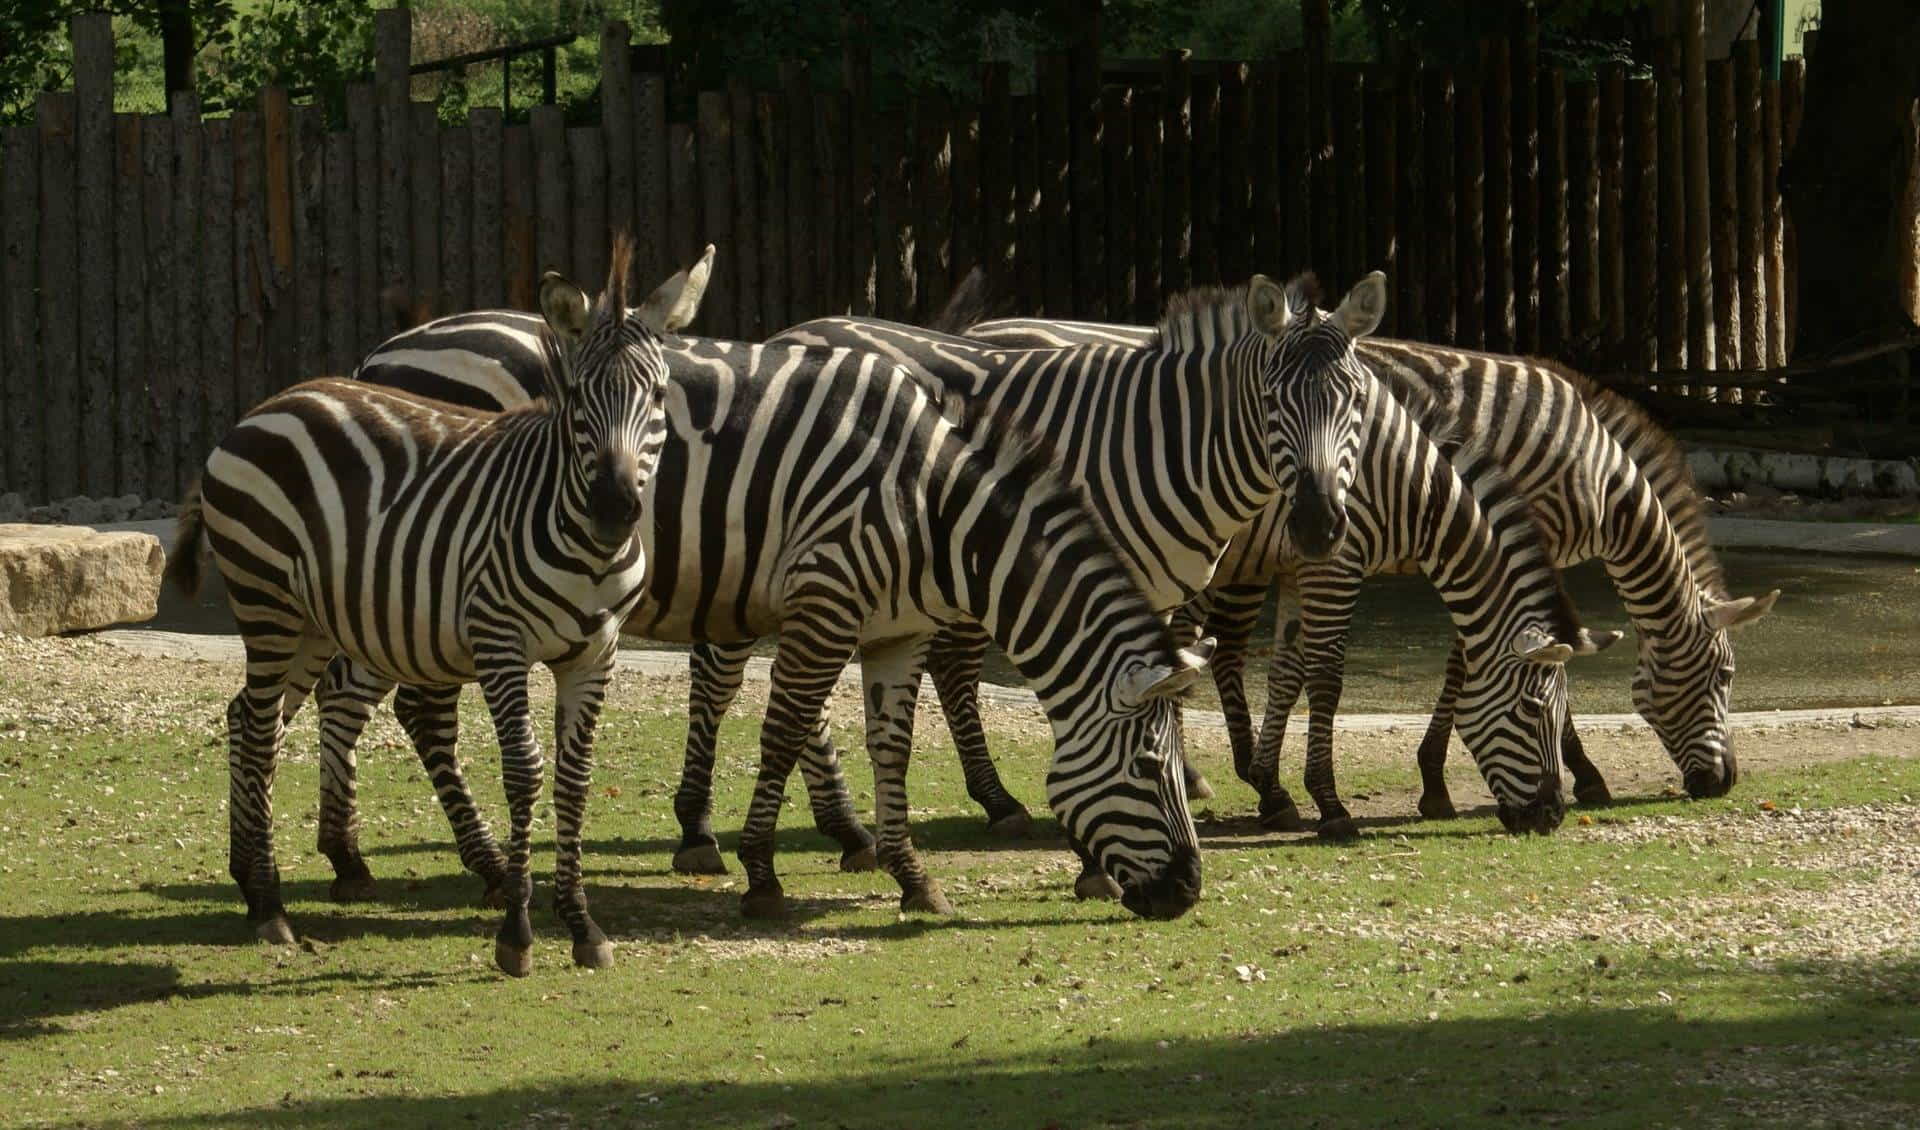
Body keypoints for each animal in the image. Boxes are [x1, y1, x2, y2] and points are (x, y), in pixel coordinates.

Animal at [167, 242, 706, 974]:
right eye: (575, 397)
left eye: (656, 396)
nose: (615, 508)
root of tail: (264, 407)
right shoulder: (501, 644)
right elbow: (525, 773)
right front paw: (518, 932)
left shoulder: (596, 653)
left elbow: (575, 779)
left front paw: (582, 924)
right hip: (265, 599)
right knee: (255, 727)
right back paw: (270, 905)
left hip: (311, 619)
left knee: (253, 717)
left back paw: (252, 883)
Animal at [967, 316, 1774, 821]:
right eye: (1725, 676)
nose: (1725, 783)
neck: (1594, 471)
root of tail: (980, 333)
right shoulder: (1516, 538)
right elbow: (1481, 664)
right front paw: (1560, 774)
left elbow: (1295, 667)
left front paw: (1280, 783)